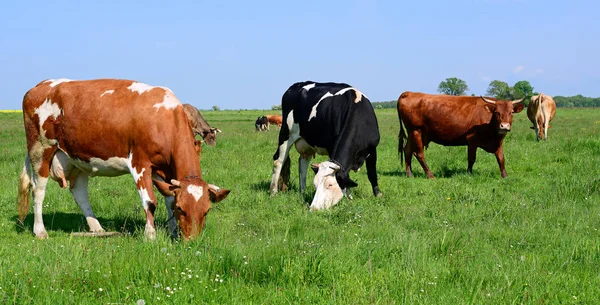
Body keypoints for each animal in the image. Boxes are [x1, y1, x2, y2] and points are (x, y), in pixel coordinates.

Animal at [17, 77, 230, 239]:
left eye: (207, 210)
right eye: (181, 209)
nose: (192, 241)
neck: (163, 120)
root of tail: (41, 85)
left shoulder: (162, 169)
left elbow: (168, 198)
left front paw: (173, 232)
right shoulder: (139, 163)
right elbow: (150, 202)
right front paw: (150, 235)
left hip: (77, 159)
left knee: (79, 192)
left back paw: (97, 229)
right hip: (40, 150)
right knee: (38, 190)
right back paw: (40, 231)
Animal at [270, 80, 382, 209]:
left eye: (330, 185)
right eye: (315, 184)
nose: (313, 208)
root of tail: (296, 85)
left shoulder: (372, 149)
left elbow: (371, 173)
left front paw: (377, 195)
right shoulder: (331, 147)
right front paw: (348, 196)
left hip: (306, 143)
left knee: (302, 163)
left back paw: (302, 191)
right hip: (285, 133)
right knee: (278, 161)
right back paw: (273, 192)